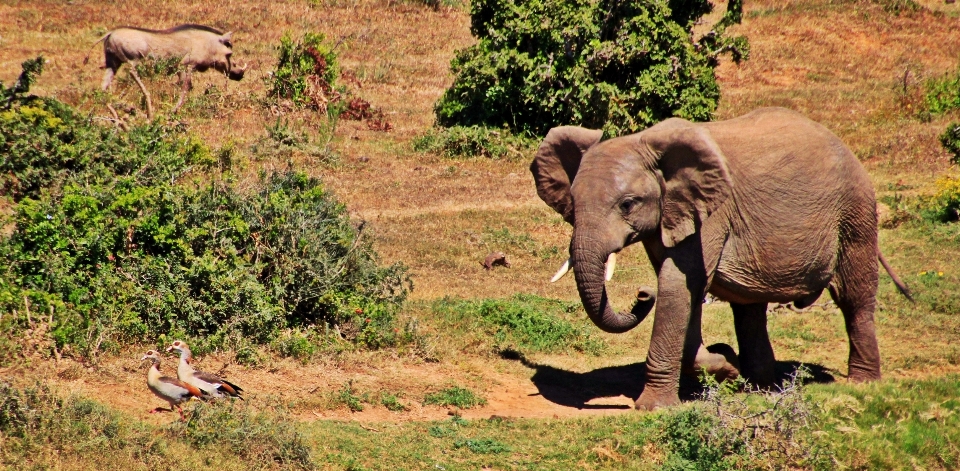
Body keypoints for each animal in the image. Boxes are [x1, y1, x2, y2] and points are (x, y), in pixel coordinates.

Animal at [528, 109, 912, 412]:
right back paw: (761, 387)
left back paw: (862, 383)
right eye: (573, 204)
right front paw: (728, 365)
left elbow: (678, 287)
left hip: (855, 211)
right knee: (750, 309)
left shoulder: (712, 213)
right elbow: (685, 294)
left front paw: (654, 406)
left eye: (627, 204)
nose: (641, 295)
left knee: (854, 297)